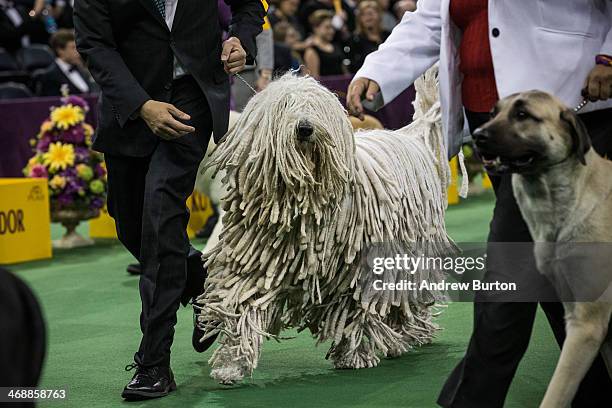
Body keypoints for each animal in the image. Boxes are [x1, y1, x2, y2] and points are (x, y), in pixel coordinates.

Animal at [194, 68, 456, 384]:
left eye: (315, 108)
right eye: (286, 105)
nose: (305, 128)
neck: (301, 203)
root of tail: (411, 137)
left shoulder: (355, 272)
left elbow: (352, 311)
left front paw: (352, 355)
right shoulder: (256, 263)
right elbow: (242, 304)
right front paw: (231, 364)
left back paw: (410, 334)